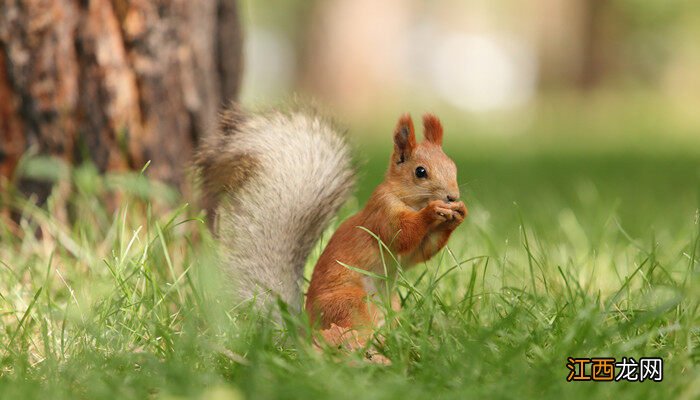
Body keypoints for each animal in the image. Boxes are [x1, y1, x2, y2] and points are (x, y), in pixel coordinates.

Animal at [196, 104, 464, 354]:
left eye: (453, 167)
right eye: (420, 171)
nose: (453, 196)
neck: (408, 200)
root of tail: (306, 329)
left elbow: (420, 252)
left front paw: (457, 216)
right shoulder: (382, 214)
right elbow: (403, 234)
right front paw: (432, 211)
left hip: (391, 305)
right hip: (350, 302)